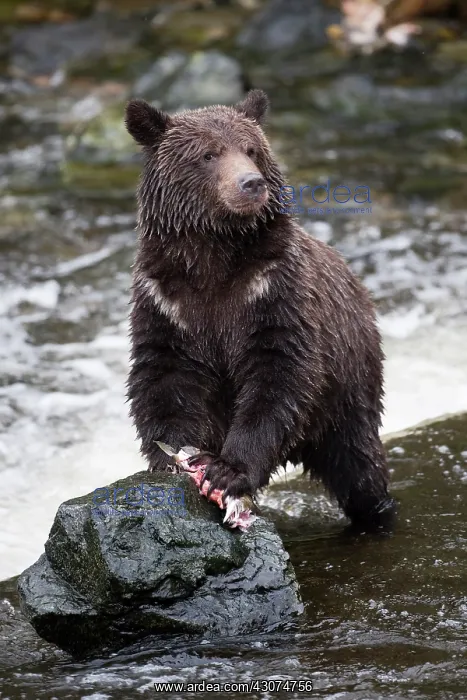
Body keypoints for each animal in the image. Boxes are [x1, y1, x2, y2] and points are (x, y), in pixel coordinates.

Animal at [124, 89, 396, 530]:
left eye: (251, 149)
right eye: (208, 154)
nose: (252, 182)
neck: (212, 259)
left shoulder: (272, 290)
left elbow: (279, 374)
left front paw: (227, 471)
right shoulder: (166, 302)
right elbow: (165, 376)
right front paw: (170, 459)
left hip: (349, 384)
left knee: (358, 463)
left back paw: (376, 512)